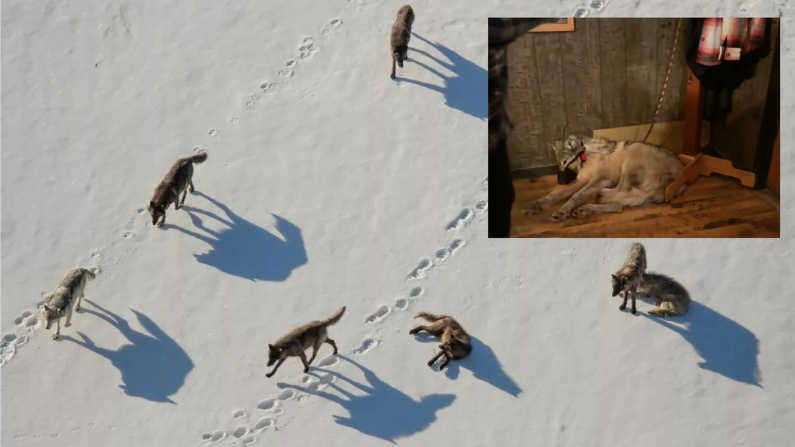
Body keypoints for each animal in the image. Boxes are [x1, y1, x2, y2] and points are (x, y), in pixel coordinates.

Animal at [522, 136, 685, 222]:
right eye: (559, 163)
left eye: (565, 162)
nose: (560, 182)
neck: (585, 157)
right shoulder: (583, 180)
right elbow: (557, 194)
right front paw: (537, 204)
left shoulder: (600, 179)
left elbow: (576, 196)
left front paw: (563, 210)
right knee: (617, 205)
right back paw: (587, 208)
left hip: (632, 154)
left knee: (620, 189)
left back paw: (598, 197)